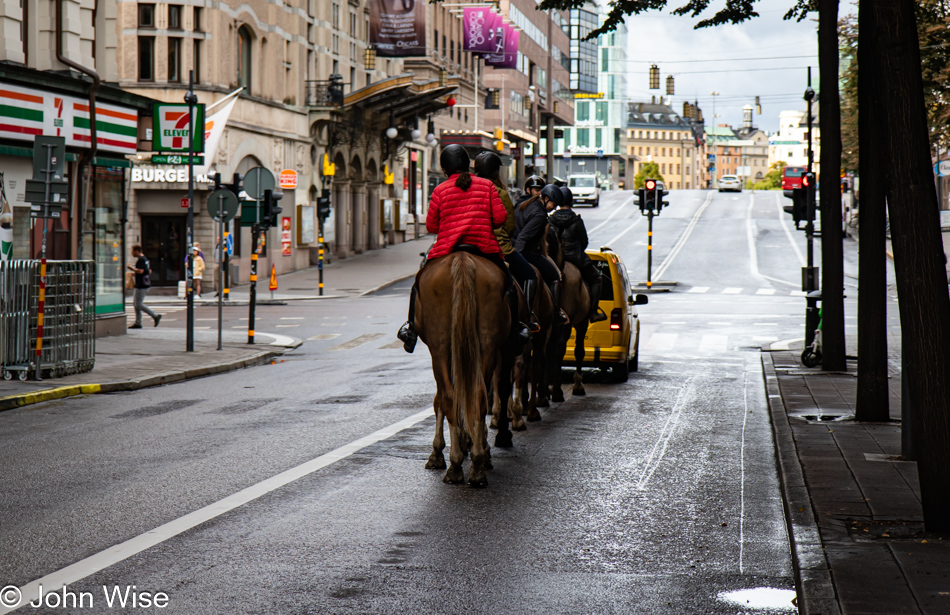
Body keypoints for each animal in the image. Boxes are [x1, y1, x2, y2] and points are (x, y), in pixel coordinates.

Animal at [412, 250, 510, 486]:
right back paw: (477, 465)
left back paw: (456, 465)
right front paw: (475, 444)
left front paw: (438, 453)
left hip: (439, 347)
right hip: (485, 345)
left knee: (449, 396)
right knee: (478, 395)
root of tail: (463, 260)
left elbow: (440, 400)